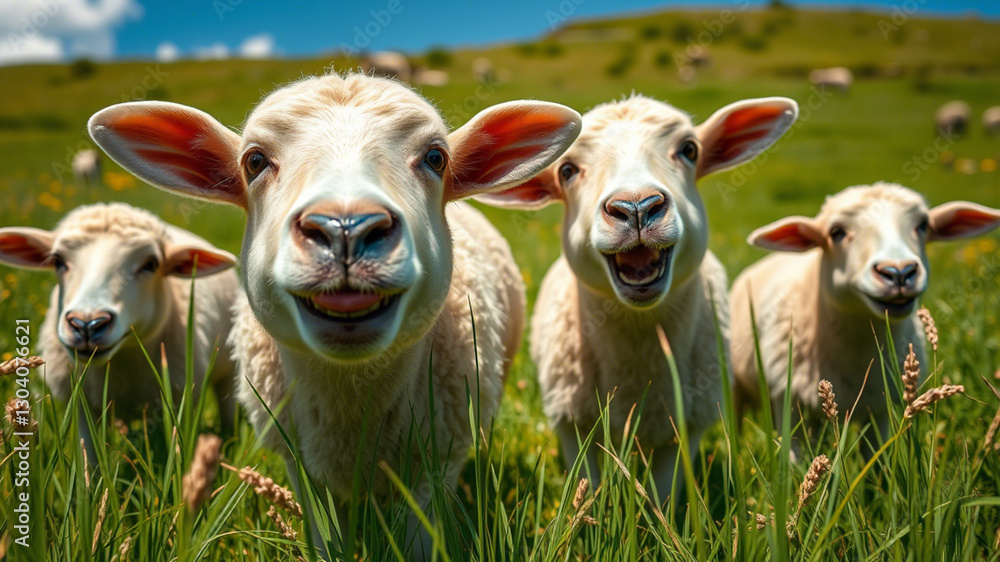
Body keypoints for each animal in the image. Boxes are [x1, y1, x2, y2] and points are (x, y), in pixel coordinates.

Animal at [0, 202, 239, 458]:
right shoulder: (81, 401)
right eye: (57, 260)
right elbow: (88, 453)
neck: (123, 361)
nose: (87, 324)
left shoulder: (179, 398)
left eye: (151, 264)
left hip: (228, 368)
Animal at [87, 72, 581, 558]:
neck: (351, 398)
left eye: (436, 158)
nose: (346, 228)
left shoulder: (431, 467)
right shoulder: (301, 465)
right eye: (254, 161)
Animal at [476, 94, 798, 498]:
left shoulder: (684, 428)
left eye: (690, 150)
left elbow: (663, 495)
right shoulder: (572, 423)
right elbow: (589, 485)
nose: (636, 207)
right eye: (567, 170)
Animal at [731, 183, 1000, 457]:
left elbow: (875, 458)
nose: (899, 272)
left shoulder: (879, 409)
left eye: (923, 225)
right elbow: (793, 458)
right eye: (836, 232)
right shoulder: (788, 402)